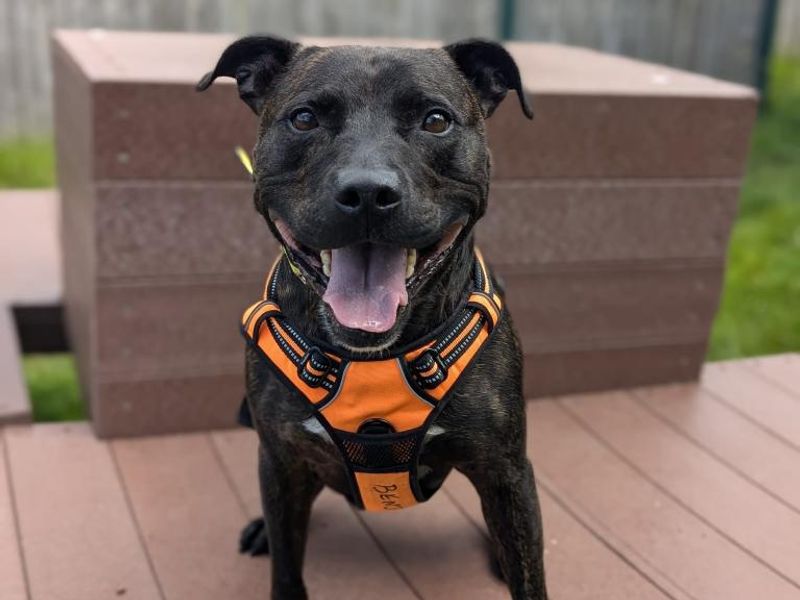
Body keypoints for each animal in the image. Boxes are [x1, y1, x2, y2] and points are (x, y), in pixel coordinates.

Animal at [200, 36, 552, 600]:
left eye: (436, 120)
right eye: (304, 118)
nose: (367, 192)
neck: (372, 355)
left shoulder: (504, 470)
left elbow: (528, 571)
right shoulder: (281, 461)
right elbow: (287, 566)